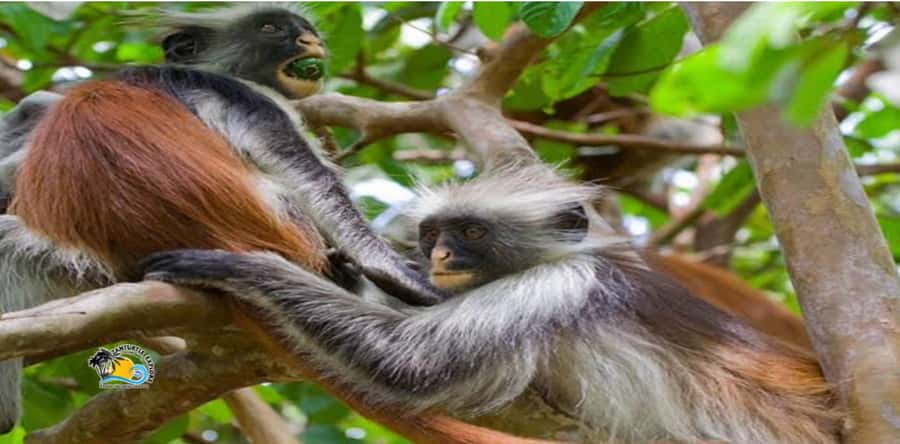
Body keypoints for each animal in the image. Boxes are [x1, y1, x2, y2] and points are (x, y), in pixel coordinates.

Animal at [0, 4, 445, 432]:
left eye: (306, 30)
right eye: (271, 28)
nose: (311, 40)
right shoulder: (241, 95)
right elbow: (312, 178)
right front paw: (396, 272)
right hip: (292, 229)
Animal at [140, 164, 842, 444]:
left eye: (472, 232)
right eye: (434, 235)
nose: (442, 258)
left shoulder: (556, 286)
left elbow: (407, 362)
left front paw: (243, 266)